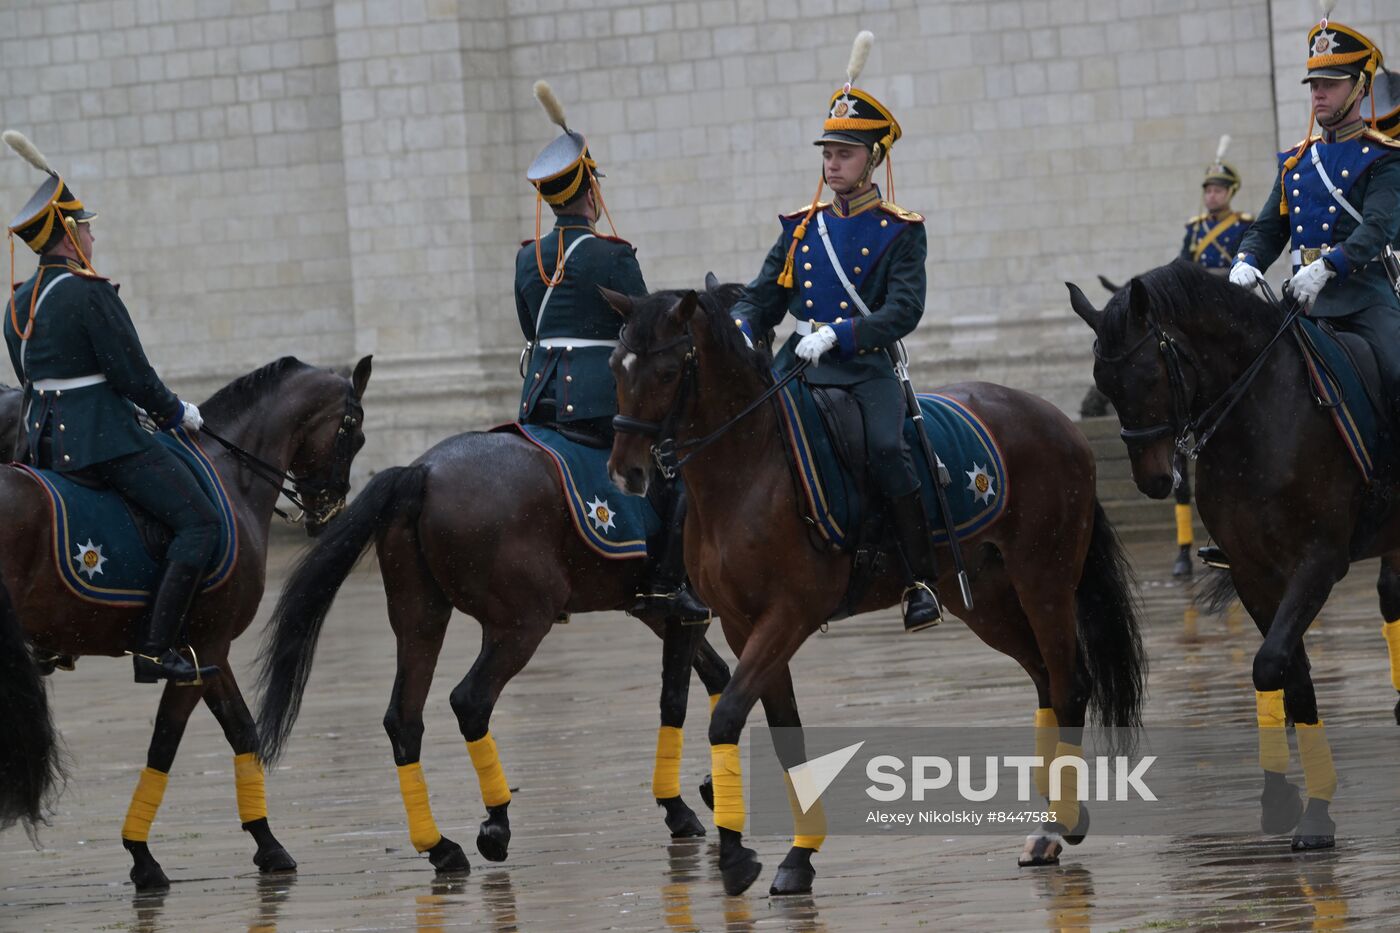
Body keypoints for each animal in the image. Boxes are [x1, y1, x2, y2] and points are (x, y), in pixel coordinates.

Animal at [0, 355, 369, 885]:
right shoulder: (202, 649)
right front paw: (144, 856)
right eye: (354, 430)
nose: (330, 512)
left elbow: (240, 731)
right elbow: (170, 743)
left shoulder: (210, 652)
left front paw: (265, 843)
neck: (231, 476)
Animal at [254, 425, 733, 874]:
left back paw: (440, 846)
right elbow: (676, 699)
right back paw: (495, 824)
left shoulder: (659, 613)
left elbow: (717, 677)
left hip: (421, 619)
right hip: (522, 625)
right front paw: (683, 804)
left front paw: (712, 784)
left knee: (405, 719)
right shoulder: (686, 612)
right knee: (471, 700)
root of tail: (422, 472)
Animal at [604, 281, 1148, 896]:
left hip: (1044, 579)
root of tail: (1054, 418)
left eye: (668, 372)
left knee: (1070, 683)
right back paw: (1056, 818)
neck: (746, 470)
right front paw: (798, 856)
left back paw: (1057, 826)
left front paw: (737, 856)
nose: (625, 472)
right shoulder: (744, 627)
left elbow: (728, 716)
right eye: (615, 367)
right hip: (984, 598)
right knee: (1045, 681)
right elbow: (783, 732)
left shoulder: (788, 616)